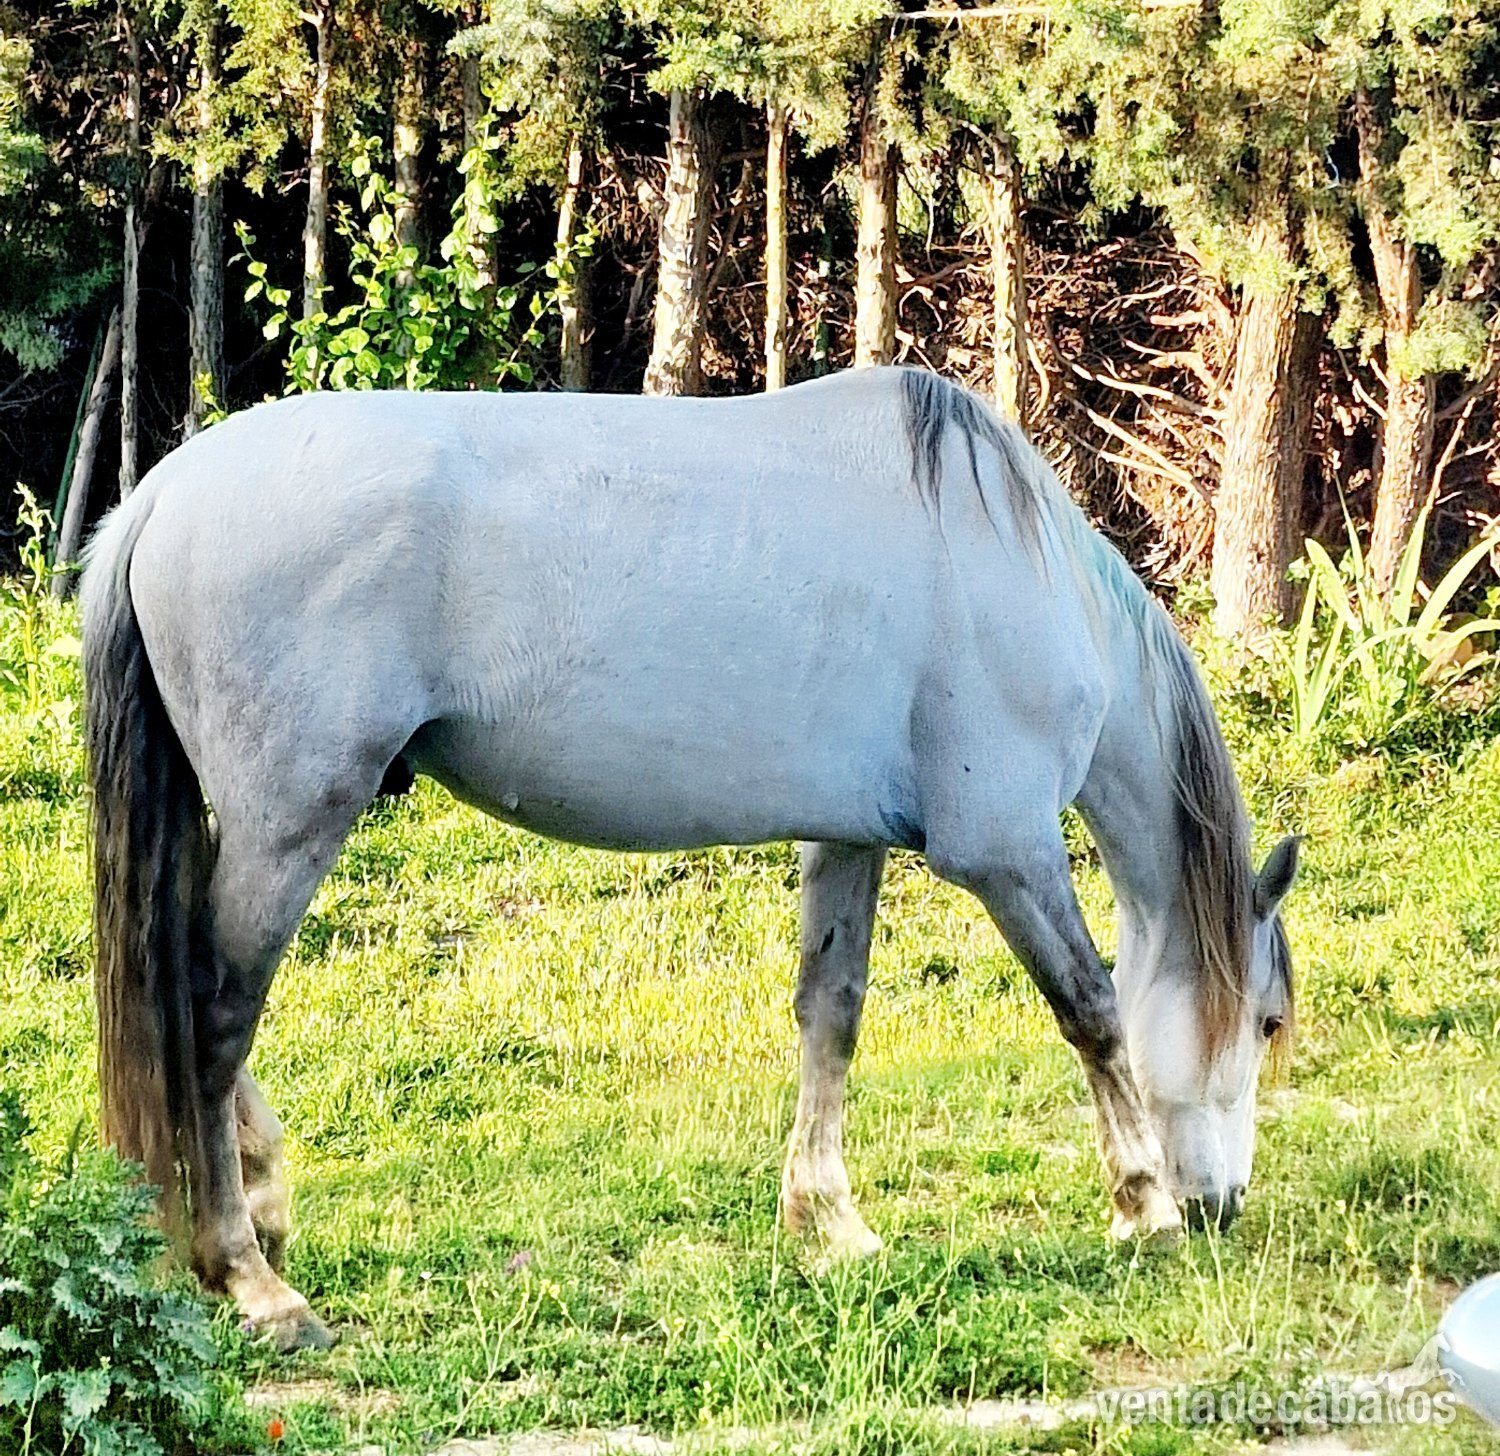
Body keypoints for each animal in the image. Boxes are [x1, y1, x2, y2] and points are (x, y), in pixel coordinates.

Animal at [81, 366, 1298, 1351]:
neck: (1007, 554)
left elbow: (831, 1016)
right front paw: (1143, 1205)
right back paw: (251, 1278)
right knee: (215, 1017)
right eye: (1270, 1021)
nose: (1227, 1204)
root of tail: (163, 495)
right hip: (291, 821)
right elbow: (1091, 1010)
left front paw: (830, 1222)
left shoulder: (849, 838)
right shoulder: (1008, 854)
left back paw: (263, 1211)